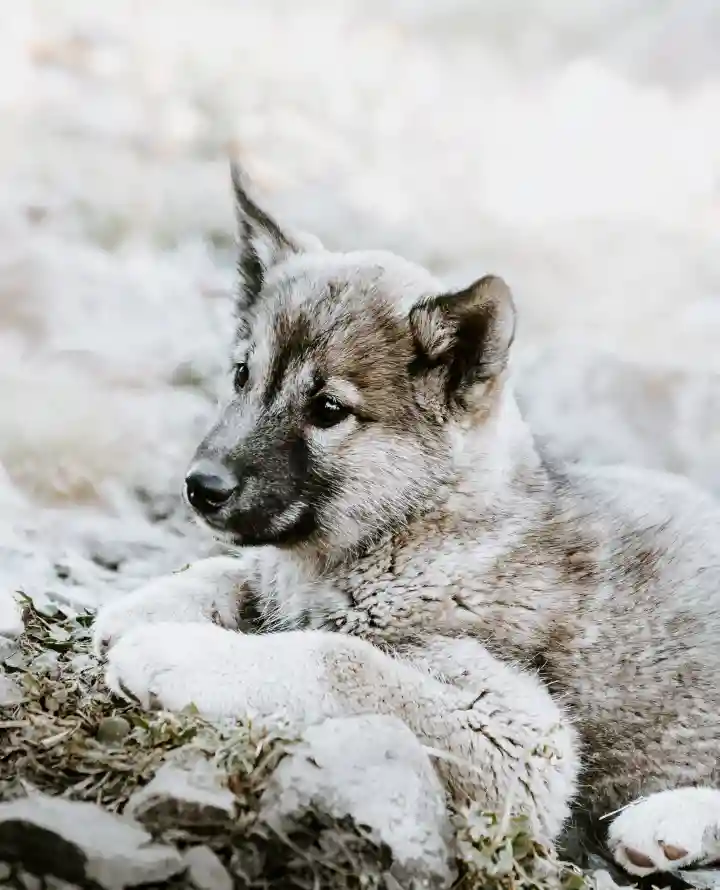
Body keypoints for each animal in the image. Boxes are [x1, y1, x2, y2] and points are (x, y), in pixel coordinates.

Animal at [94, 166, 720, 876]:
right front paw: (143, 609)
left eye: (328, 409)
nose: (201, 488)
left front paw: (174, 652)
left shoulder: (520, 735)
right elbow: (232, 572)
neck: (417, 531)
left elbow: (337, 657)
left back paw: (668, 821)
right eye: (242, 376)